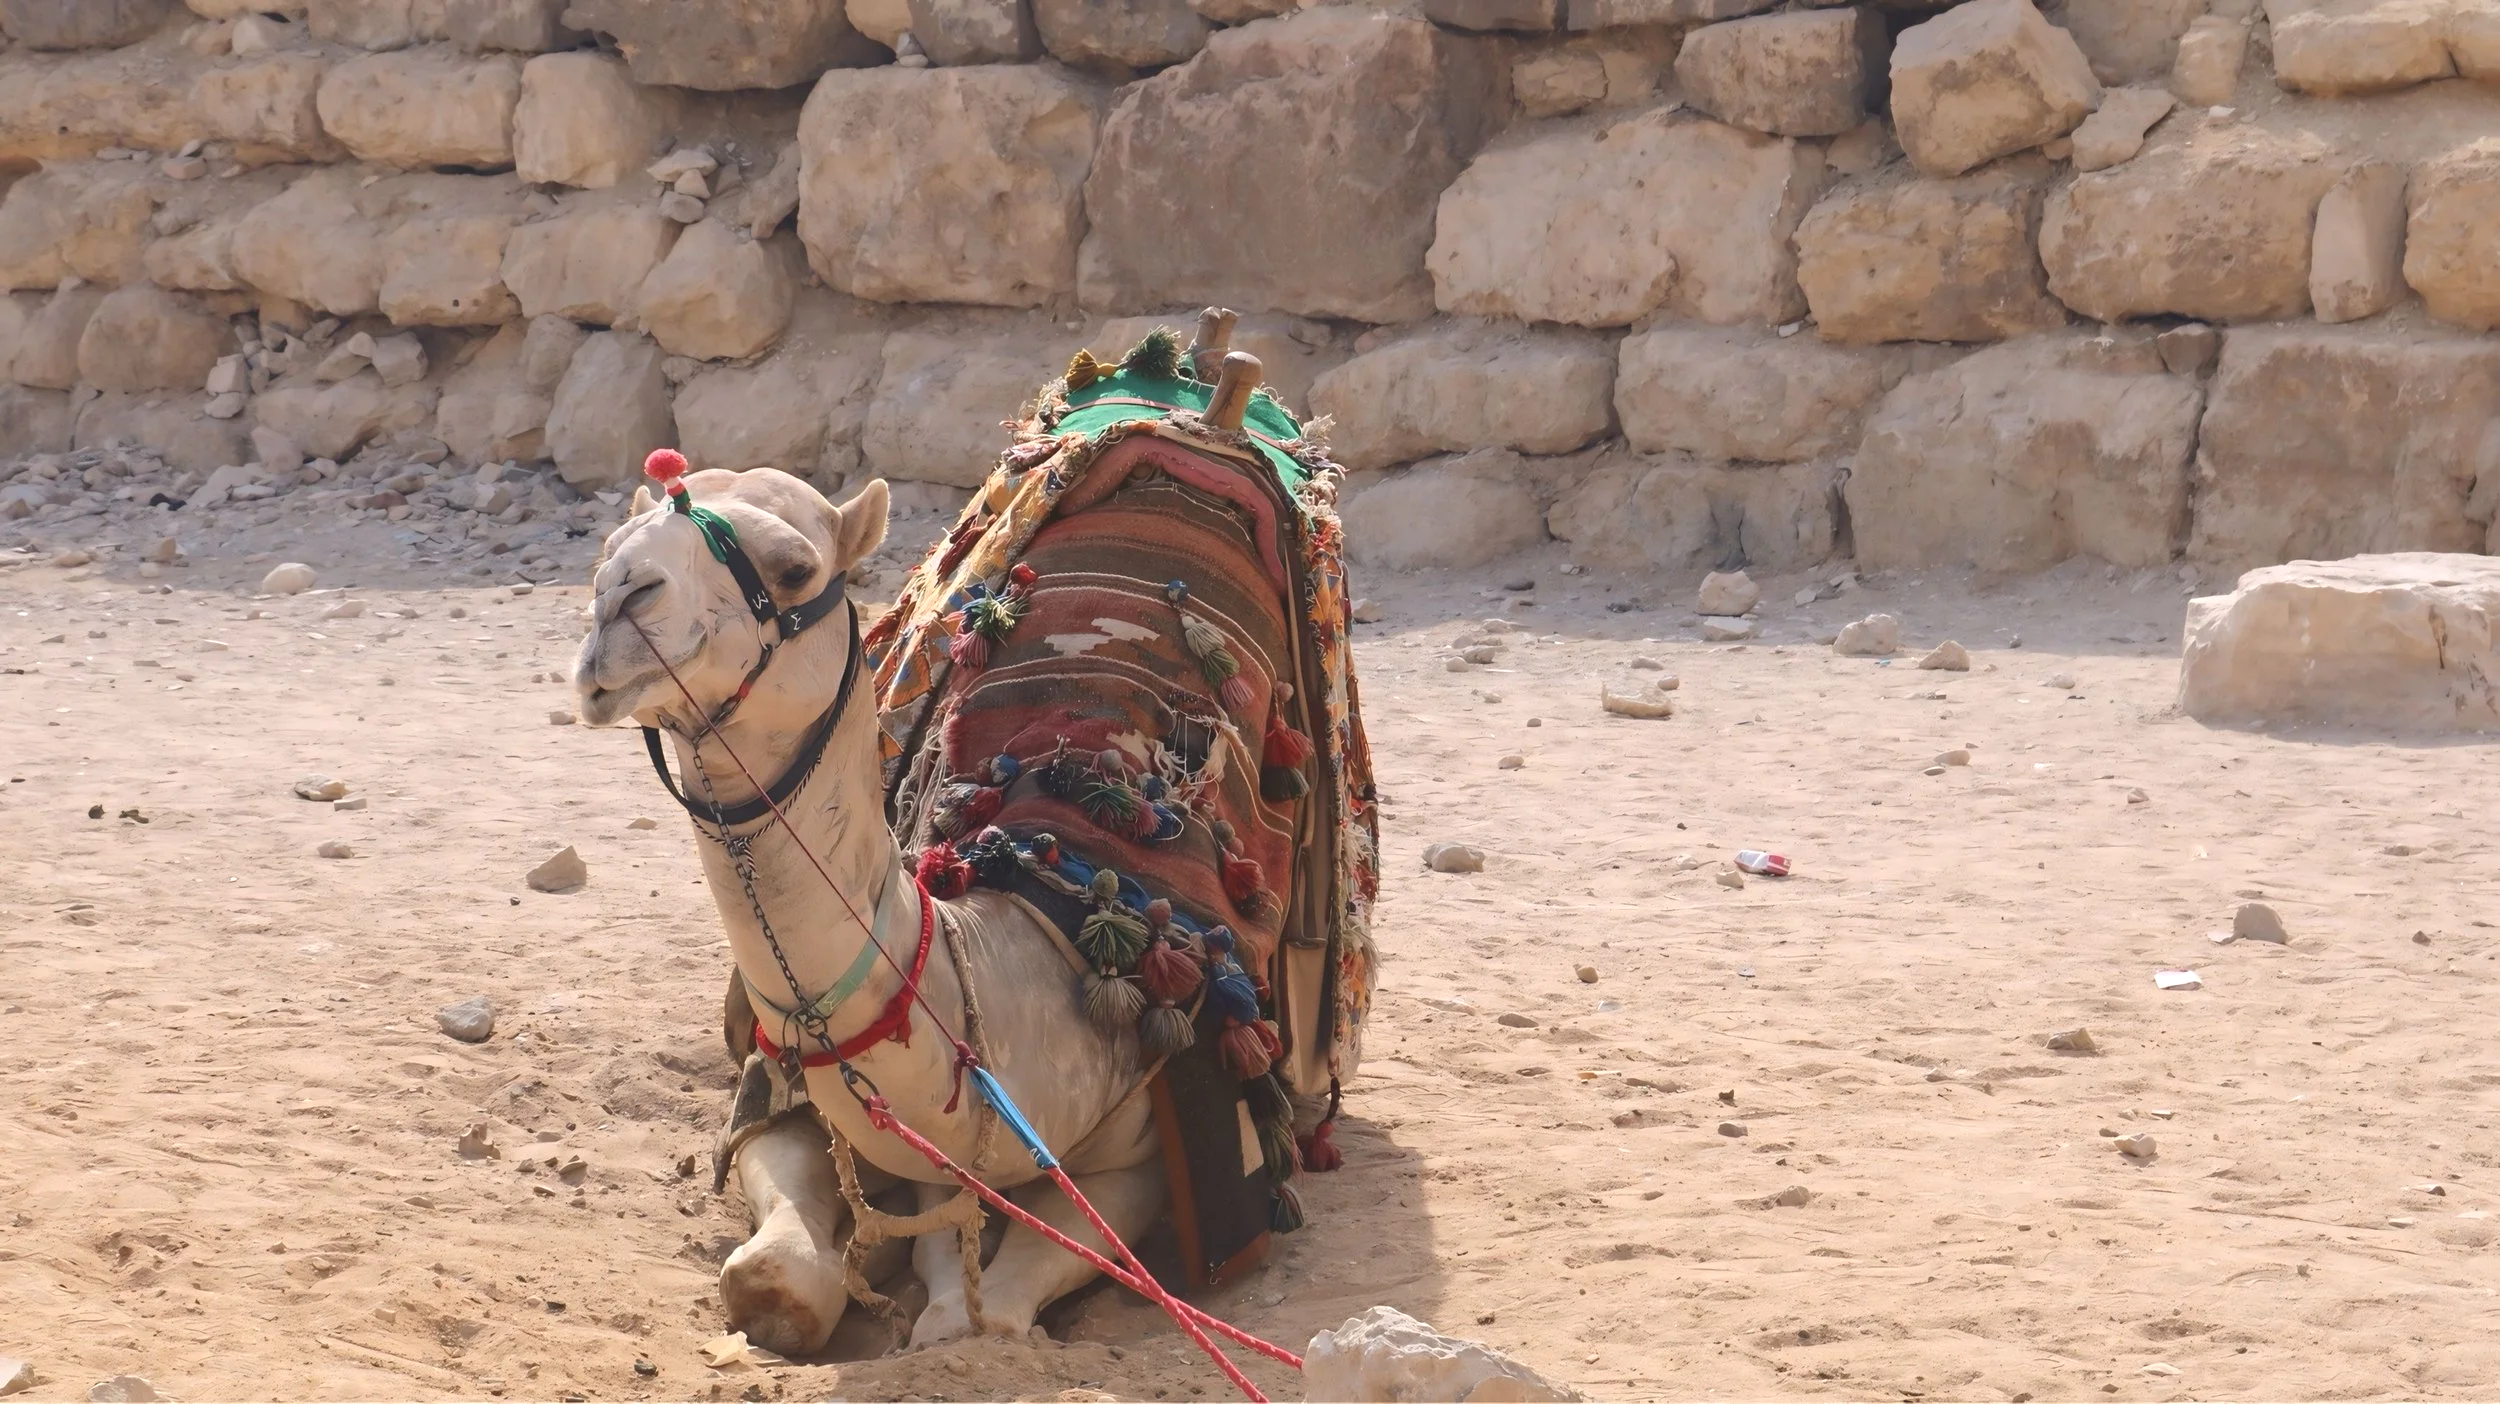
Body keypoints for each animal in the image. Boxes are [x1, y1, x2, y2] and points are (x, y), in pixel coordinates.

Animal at [572, 365, 1371, 1357]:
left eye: (793, 567)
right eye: (610, 549)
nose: (619, 603)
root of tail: (1203, 408)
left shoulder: (1148, 1157)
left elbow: (982, 1309)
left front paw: (940, 1283)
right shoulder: (780, 1096)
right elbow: (776, 1274)